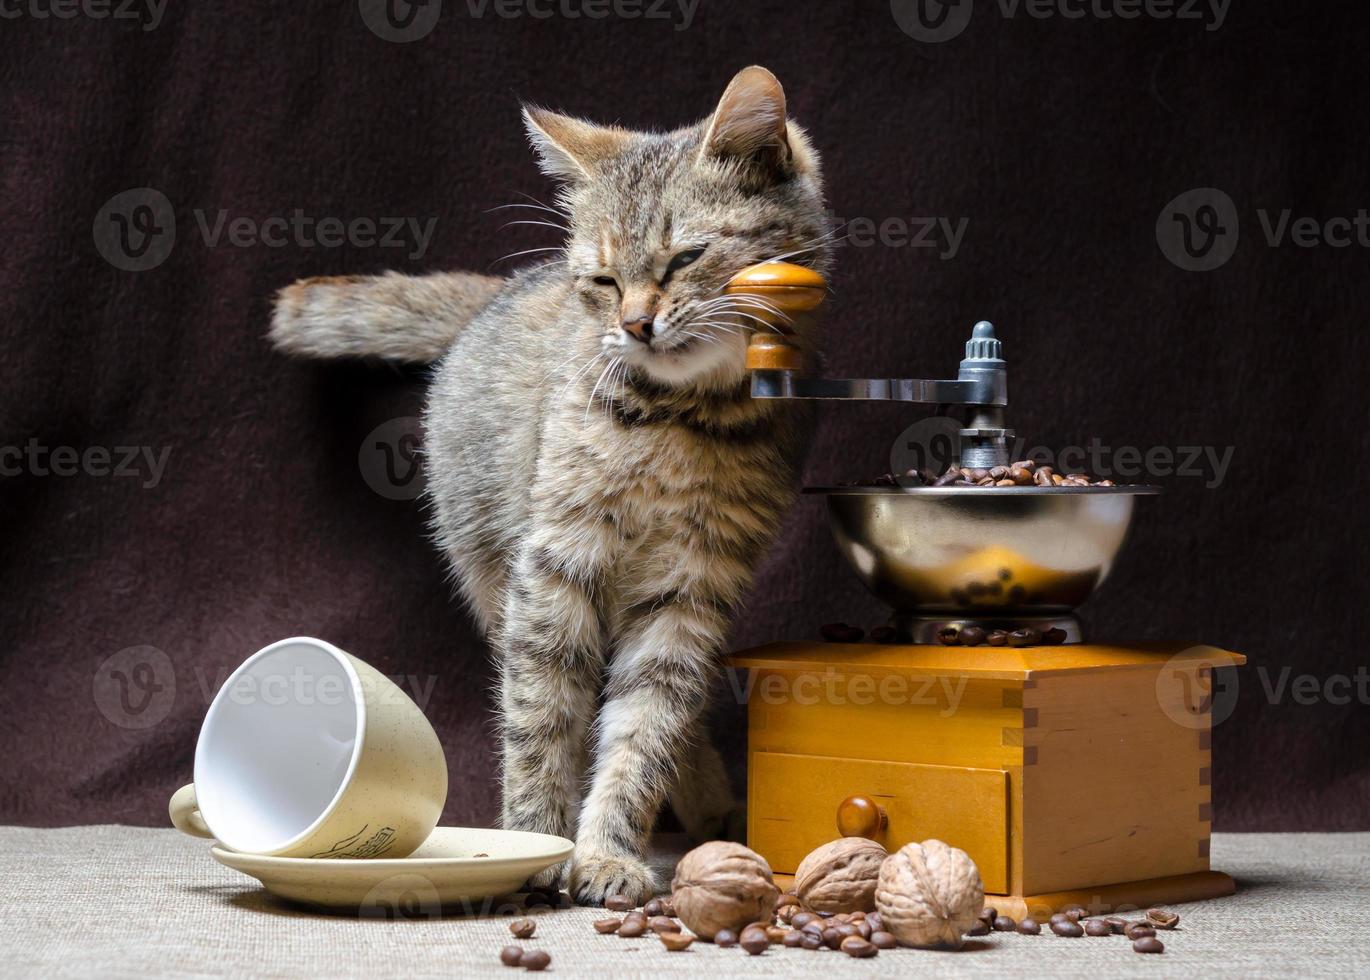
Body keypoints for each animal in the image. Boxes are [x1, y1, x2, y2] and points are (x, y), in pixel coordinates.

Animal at [271, 65, 827, 904]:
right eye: (602, 279)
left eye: (685, 258)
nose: (634, 325)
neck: (679, 420)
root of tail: (494, 294)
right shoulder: (553, 567)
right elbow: (540, 717)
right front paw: (536, 840)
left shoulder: (692, 589)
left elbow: (647, 728)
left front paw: (605, 850)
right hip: (486, 569)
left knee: (683, 715)